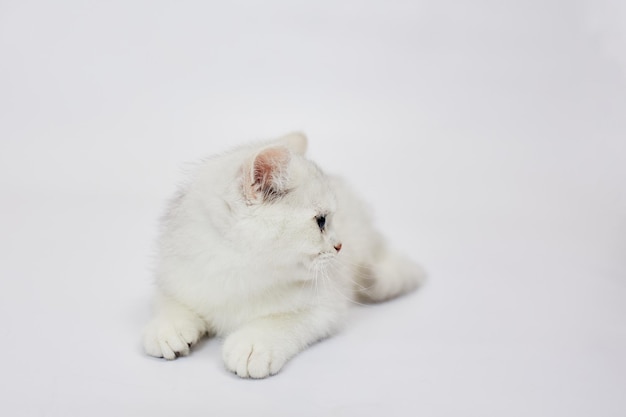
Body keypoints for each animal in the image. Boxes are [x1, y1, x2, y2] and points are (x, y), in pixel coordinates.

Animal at [141, 132, 424, 376]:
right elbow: (168, 300)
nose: (339, 246)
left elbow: (283, 321)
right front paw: (168, 328)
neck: (237, 271)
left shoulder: (326, 307)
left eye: (329, 220)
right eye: (321, 221)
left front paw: (253, 344)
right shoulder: (174, 273)